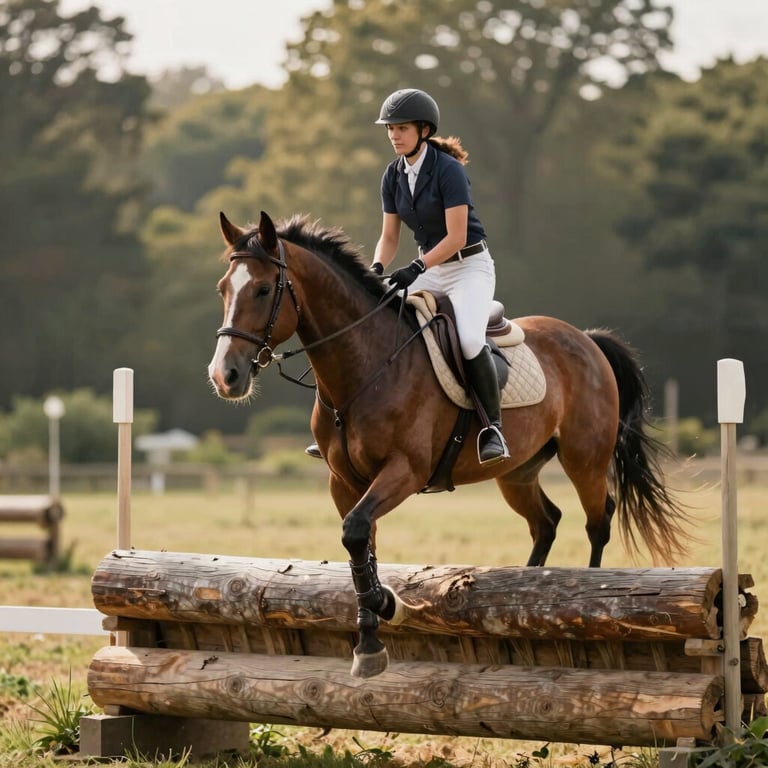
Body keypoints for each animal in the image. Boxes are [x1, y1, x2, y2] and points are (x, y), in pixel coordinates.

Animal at [208, 210, 691, 679]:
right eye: (222, 290)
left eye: (264, 289)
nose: (224, 376)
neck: (363, 367)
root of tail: (587, 339)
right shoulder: (343, 482)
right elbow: (361, 547)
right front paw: (374, 628)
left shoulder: (404, 471)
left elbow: (356, 532)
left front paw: (382, 614)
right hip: (517, 472)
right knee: (546, 522)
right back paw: (527, 595)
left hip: (584, 460)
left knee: (598, 520)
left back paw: (592, 602)